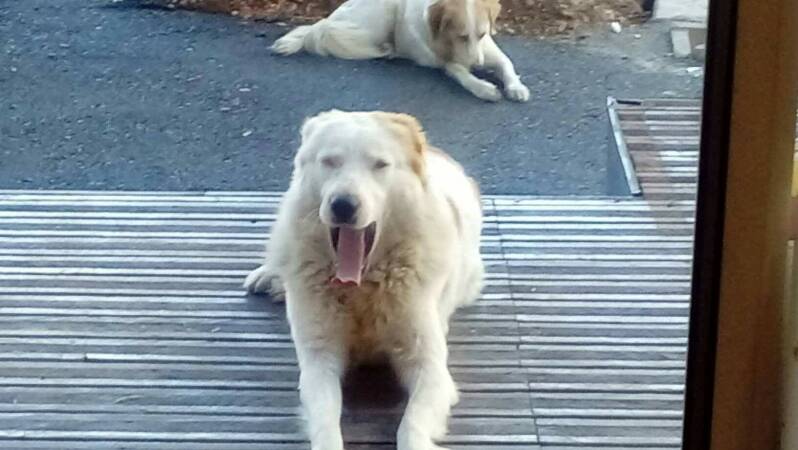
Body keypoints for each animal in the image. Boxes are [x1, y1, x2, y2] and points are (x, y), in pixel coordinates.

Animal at [244, 110, 484, 449]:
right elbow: (326, 419)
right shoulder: (319, 360)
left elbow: (411, 424)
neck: (363, 288)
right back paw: (271, 277)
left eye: (379, 165)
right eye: (330, 161)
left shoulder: (429, 368)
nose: (343, 205)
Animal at [271, 0, 530, 102]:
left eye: (482, 34)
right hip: (384, 13)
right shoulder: (448, 62)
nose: (478, 65)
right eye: (461, 36)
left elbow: (507, 66)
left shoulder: (490, 51)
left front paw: (516, 87)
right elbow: (464, 76)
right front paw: (484, 88)